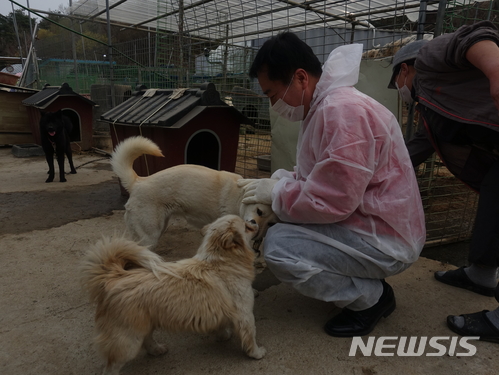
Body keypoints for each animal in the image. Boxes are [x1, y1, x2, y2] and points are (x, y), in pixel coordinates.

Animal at [81, 216, 266, 374]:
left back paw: (156, 350)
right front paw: (256, 353)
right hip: (128, 341)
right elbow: (250, 337)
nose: (252, 220)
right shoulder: (244, 315)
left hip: (144, 326)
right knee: (111, 368)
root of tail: (113, 277)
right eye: (246, 227)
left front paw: (223, 336)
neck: (221, 263)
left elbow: (222, 326)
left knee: (147, 340)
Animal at [110, 136, 278, 250]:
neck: (239, 198)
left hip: (158, 228)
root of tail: (138, 182)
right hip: (149, 237)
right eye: (259, 211)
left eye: (271, 224)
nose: (256, 232)